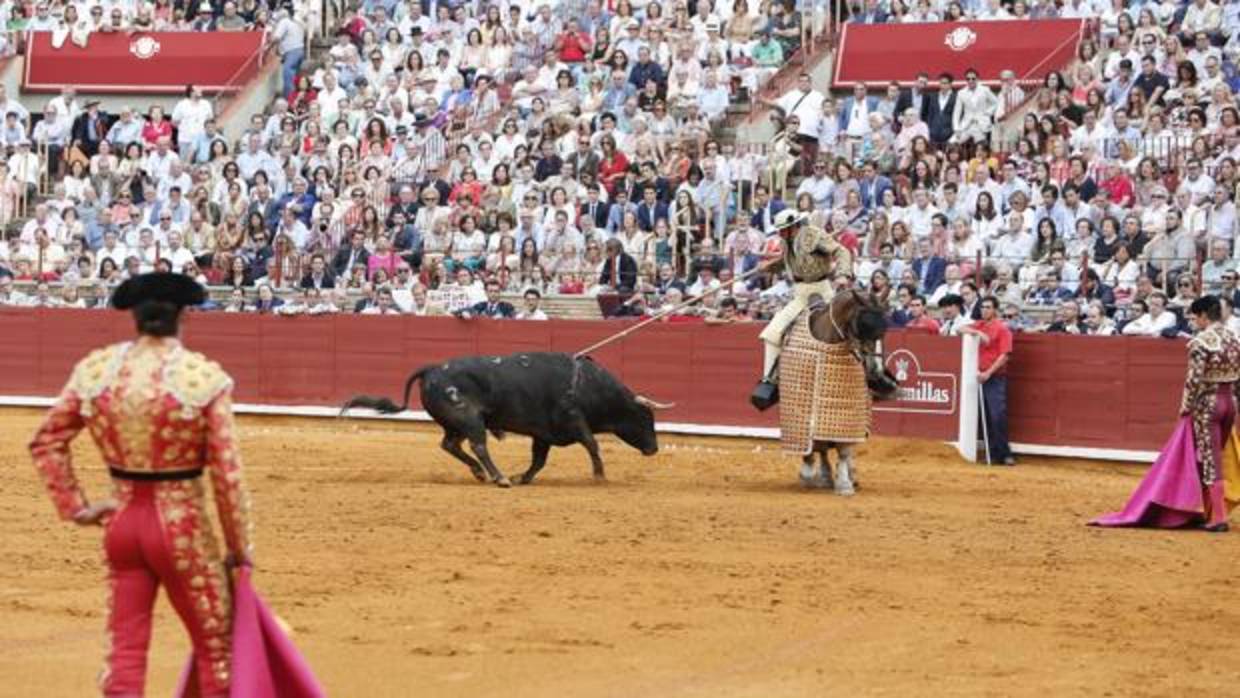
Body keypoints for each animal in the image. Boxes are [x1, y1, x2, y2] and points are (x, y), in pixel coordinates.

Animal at [339, 354, 674, 485]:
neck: (588, 385)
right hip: (469, 419)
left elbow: (539, 460)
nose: (654, 448)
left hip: (455, 424)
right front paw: (600, 476)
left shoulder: (544, 434)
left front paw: (523, 477)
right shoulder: (574, 421)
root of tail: (432, 369)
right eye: (645, 418)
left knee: (450, 445)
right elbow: (592, 444)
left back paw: (481, 473)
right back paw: (498, 477)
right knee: (478, 446)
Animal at [788, 290, 897, 495]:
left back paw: (848, 474)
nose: (875, 370)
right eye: (862, 325)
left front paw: (844, 483)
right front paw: (809, 473)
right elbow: (814, 442)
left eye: (884, 329)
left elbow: (844, 449)